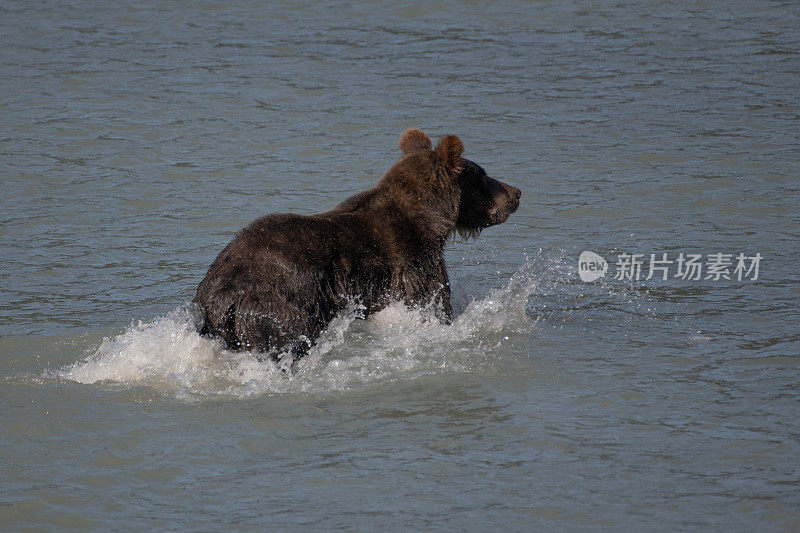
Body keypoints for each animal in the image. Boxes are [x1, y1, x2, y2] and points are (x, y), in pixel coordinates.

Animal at [192, 129, 520, 364]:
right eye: (483, 175)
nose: (516, 192)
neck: (430, 221)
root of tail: (222, 292)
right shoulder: (412, 264)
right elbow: (433, 304)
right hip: (279, 303)